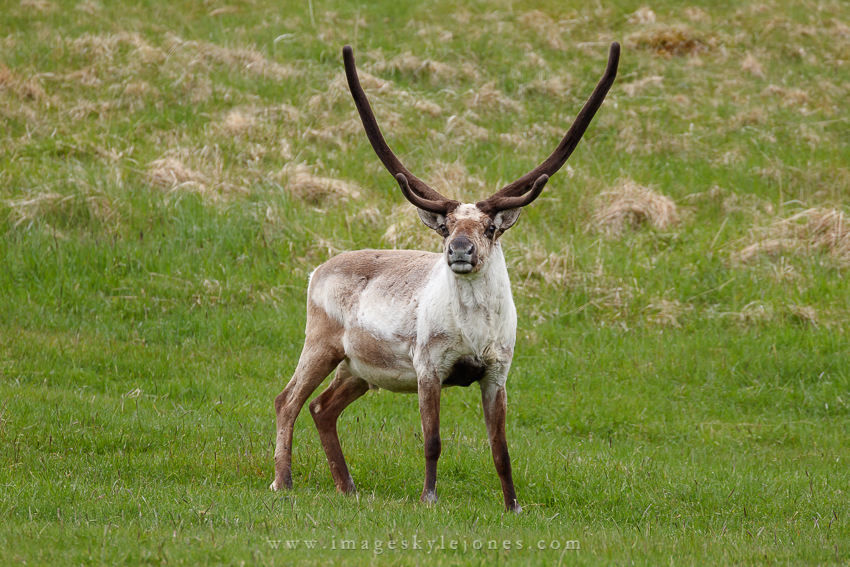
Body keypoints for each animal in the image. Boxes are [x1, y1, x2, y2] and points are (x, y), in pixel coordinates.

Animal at [270, 42, 620, 512]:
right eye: (446, 226)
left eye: (489, 228)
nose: (460, 250)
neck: (475, 332)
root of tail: (316, 270)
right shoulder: (429, 365)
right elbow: (432, 441)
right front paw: (429, 496)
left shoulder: (497, 371)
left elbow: (501, 448)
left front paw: (513, 505)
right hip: (321, 342)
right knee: (287, 399)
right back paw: (283, 481)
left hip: (359, 367)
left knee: (322, 407)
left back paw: (348, 487)